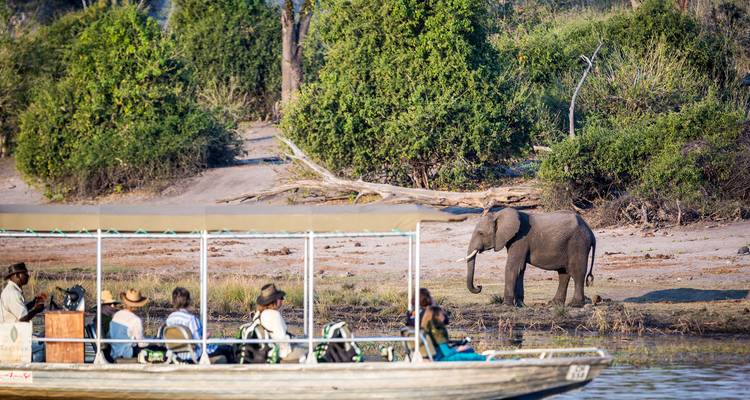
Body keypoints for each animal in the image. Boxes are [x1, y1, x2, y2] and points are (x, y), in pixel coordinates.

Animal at [462, 208, 596, 308]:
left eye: (480, 233)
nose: (479, 286)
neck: (498, 214)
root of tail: (591, 232)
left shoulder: (521, 239)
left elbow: (512, 267)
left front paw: (506, 305)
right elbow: (520, 269)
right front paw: (520, 305)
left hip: (578, 243)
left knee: (577, 272)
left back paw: (575, 305)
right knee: (563, 273)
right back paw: (554, 304)